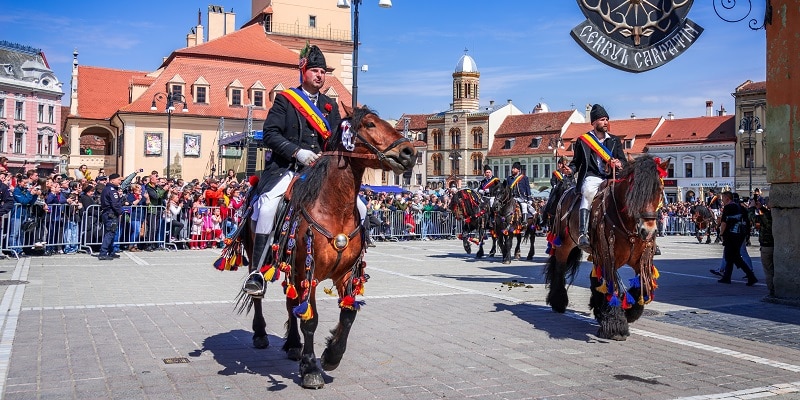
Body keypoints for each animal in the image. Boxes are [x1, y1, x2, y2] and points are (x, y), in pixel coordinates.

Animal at [236, 105, 412, 388]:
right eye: (370, 124)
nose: (410, 152)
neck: (334, 208)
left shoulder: (345, 273)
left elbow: (348, 314)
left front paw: (331, 355)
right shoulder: (310, 273)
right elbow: (311, 320)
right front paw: (311, 369)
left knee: (291, 302)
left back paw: (293, 345)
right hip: (258, 255)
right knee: (259, 296)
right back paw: (261, 334)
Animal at [544, 155, 668, 340]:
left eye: (659, 190)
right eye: (634, 191)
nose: (648, 230)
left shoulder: (641, 260)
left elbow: (643, 285)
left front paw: (630, 312)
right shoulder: (609, 256)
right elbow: (613, 287)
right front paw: (615, 325)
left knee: (595, 276)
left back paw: (598, 308)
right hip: (565, 245)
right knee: (559, 268)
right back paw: (558, 301)